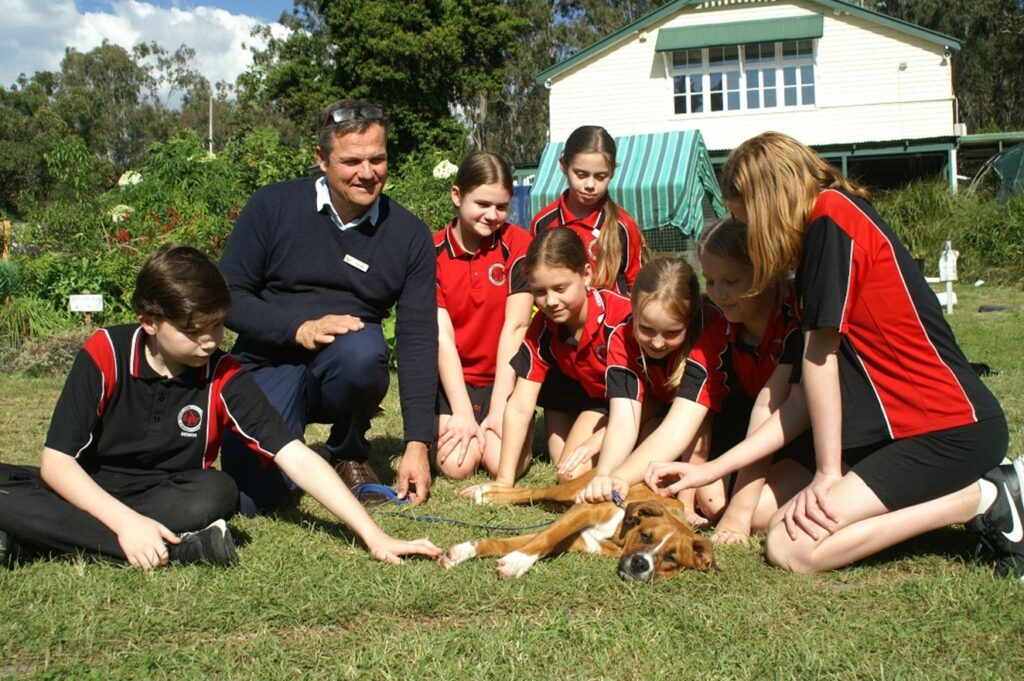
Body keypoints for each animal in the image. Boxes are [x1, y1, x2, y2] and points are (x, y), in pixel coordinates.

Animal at [438, 473, 712, 577]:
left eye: (671, 559)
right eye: (645, 536)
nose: (640, 564)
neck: (619, 536)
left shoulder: (578, 541)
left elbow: (515, 542)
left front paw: (463, 551)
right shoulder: (582, 511)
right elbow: (544, 538)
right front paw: (517, 562)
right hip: (571, 492)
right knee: (533, 491)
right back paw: (487, 494)